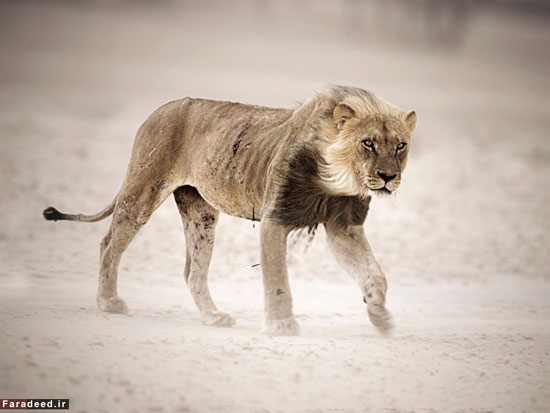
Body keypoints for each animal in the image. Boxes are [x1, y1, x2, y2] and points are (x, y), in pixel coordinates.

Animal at [43, 86, 418, 334]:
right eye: (368, 143)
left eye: (401, 145)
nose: (388, 177)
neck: (338, 179)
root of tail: (159, 109)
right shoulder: (274, 219)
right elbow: (278, 279)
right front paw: (281, 324)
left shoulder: (343, 227)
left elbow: (375, 274)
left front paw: (379, 314)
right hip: (142, 191)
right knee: (109, 244)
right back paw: (108, 302)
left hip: (201, 213)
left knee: (192, 271)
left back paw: (213, 317)